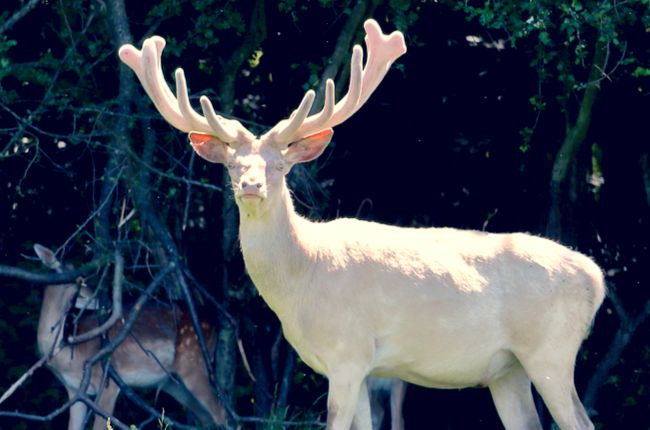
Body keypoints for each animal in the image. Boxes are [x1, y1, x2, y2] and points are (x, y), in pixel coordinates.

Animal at [33, 245, 225, 430]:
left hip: (194, 363)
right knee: (206, 418)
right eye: (81, 280)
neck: (68, 356)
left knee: (221, 413)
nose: (104, 301)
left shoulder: (108, 382)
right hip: (172, 382)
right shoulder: (74, 391)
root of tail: (215, 322)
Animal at [119, 18, 604, 428]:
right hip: (507, 369)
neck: (302, 277)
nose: (252, 186)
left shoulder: (348, 352)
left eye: (280, 166)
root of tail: (595, 278)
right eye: (233, 166)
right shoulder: (358, 366)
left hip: (551, 351)